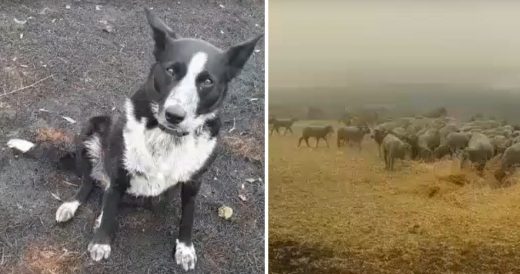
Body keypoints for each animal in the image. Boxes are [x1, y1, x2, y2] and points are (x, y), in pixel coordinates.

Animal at [8, 9, 260, 272]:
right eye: (171, 70)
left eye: (207, 81)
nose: (174, 115)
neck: (167, 135)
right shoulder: (120, 170)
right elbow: (110, 205)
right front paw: (101, 241)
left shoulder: (193, 181)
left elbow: (187, 217)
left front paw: (185, 248)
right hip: (92, 129)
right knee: (90, 183)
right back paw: (73, 205)